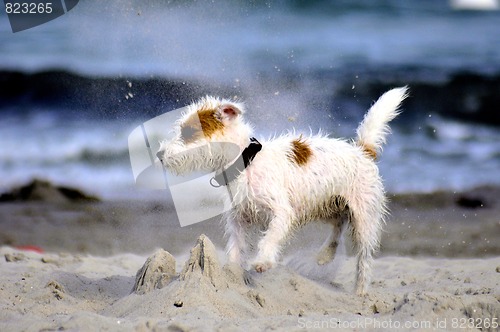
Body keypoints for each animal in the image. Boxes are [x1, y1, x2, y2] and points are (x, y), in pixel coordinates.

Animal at [156, 87, 406, 294]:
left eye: (188, 132)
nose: (159, 154)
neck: (246, 162)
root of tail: (363, 151)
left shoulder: (282, 213)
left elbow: (270, 236)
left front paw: (263, 261)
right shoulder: (239, 220)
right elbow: (236, 248)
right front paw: (232, 272)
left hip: (363, 218)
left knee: (364, 258)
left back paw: (359, 292)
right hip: (324, 203)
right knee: (338, 224)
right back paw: (325, 254)